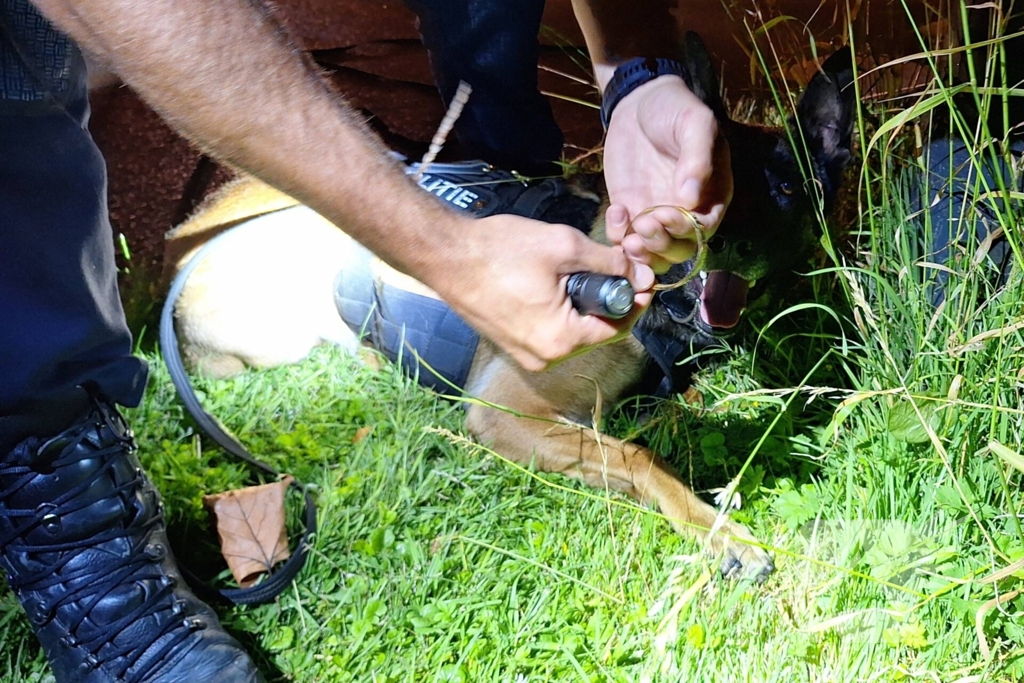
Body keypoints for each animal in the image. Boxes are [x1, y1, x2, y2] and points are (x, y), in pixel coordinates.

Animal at [163, 37, 856, 581]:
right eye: (714, 183)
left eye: (787, 188)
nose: (731, 244)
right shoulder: (503, 411)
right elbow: (636, 454)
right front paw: (717, 532)